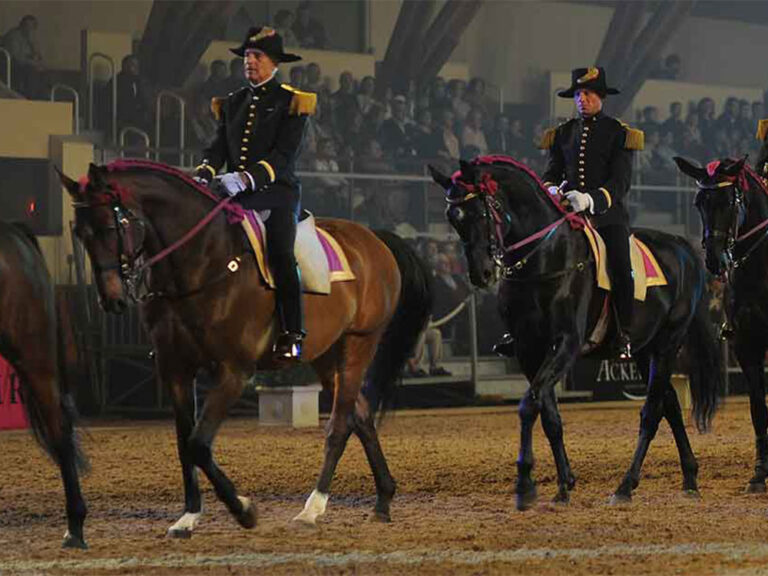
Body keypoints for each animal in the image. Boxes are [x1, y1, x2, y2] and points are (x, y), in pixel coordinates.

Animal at [58, 159, 432, 536]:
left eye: (110, 226)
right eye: (80, 233)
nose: (113, 300)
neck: (201, 264)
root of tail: (373, 238)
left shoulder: (233, 372)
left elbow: (198, 444)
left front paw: (243, 510)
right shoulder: (176, 370)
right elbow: (184, 444)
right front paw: (189, 516)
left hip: (358, 345)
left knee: (340, 425)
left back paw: (313, 508)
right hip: (327, 354)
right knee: (362, 415)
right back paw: (383, 499)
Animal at [428, 156, 724, 508]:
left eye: (486, 210)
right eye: (453, 218)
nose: (482, 274)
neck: (545, 261)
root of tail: (682, 247)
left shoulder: (566, 344)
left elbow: (529, 405)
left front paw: (525, 484)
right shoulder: (528, 349)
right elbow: (548, 414)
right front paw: (564, 484)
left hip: (667, 344)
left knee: (652, 411)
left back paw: (626, 485)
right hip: (643, 350)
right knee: (670, 405)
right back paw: (689, 477)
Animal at [672, 155, 768, 492]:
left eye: (729, 201)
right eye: (699, 202)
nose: (715, 260)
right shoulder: (746, 347)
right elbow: (758, 408)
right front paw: (759, 473)